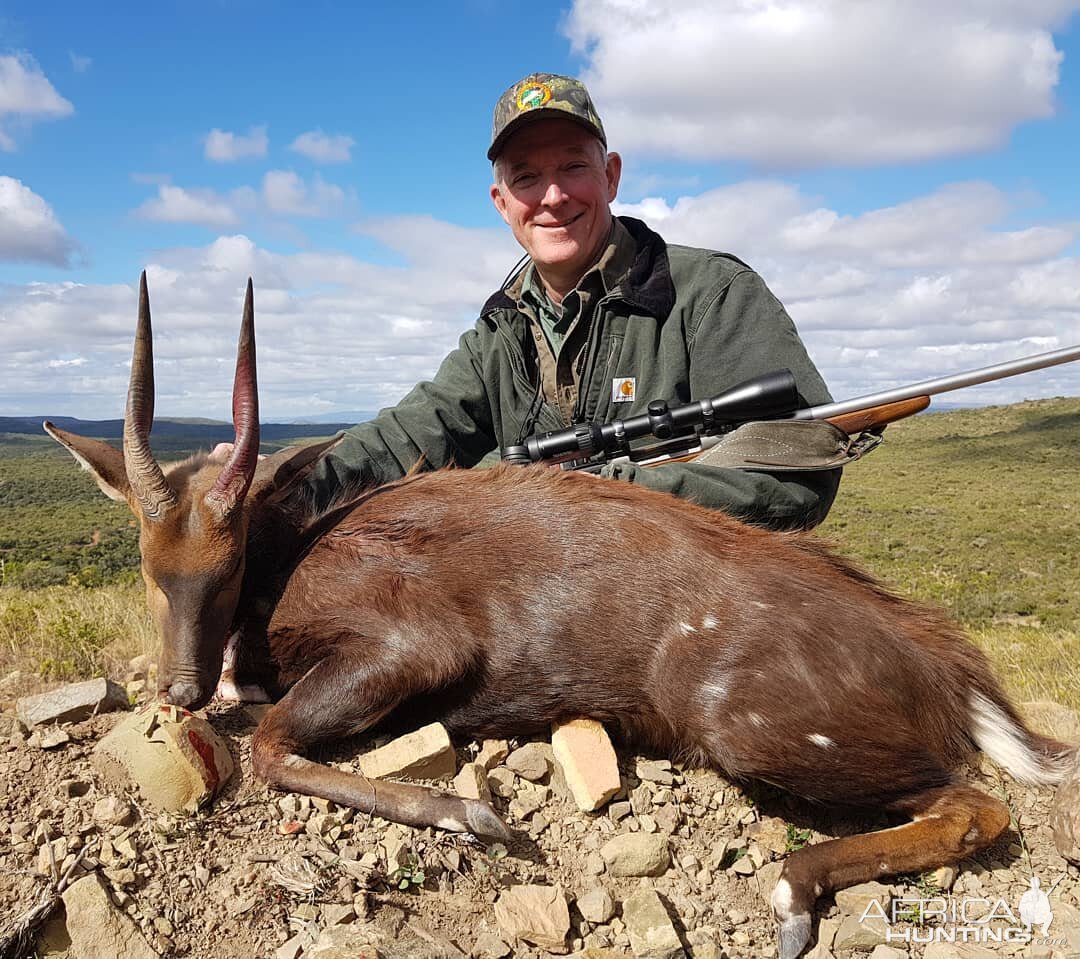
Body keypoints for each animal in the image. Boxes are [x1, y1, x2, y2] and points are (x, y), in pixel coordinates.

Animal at [46, 273, 1075, 954]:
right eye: (148, 566)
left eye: (225, 568)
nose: (183, 689)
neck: (294, 553)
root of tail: (950, 664)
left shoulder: (411, 647)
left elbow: (269, 746)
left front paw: (479, 816)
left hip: (751, 732)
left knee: (978, 804)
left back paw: (793, 895)